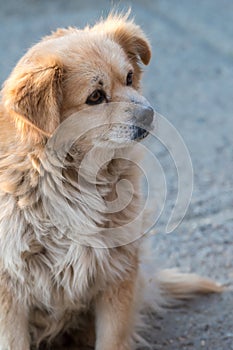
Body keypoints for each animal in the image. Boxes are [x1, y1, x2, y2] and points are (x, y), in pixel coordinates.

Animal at [0, 13, 222, 350]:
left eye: (129, 77)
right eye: (95, 96)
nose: (149, 114)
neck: (69, 181)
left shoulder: (118, 274)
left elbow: (112, 339)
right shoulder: (10, 291)